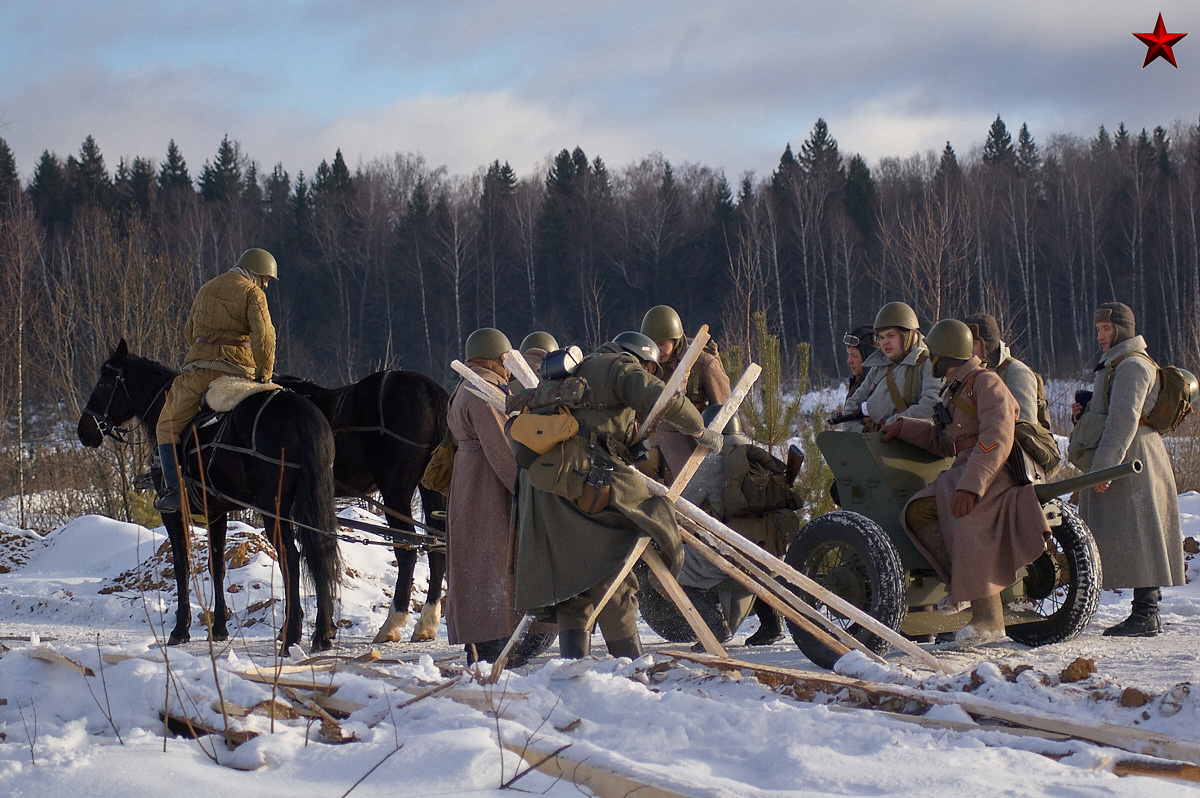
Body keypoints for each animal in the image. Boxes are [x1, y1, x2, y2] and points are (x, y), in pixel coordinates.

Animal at [79, 338, 343, 652]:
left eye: (103, 383)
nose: (84, 430)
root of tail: (303, 413)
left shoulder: (173, 512)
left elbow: (182, 566)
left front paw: (180, 629)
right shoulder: (216, 512)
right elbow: (216, 565)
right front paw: (218, 627)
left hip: (273, 509)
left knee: (291, 558)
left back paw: (292, 633)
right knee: (319, 552)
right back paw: (322, 631)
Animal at [274, 372, 451, 643]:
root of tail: (429, 388)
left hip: (395, 491)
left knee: (408, 551)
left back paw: (392, 623)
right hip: (429, 486)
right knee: (435, 547)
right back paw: (426, 623)